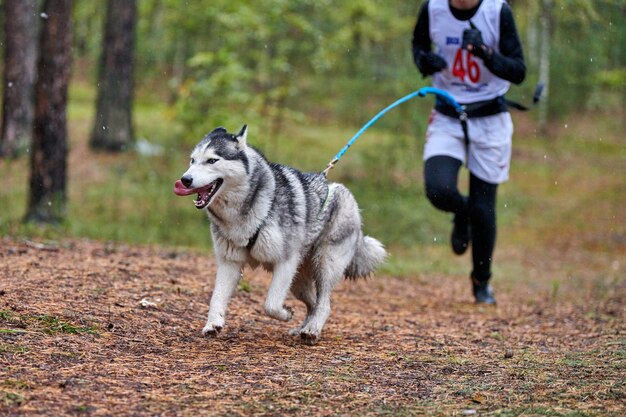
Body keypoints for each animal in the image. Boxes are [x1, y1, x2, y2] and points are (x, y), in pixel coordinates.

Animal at [173, 124, 382, 344]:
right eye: (192, 160)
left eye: (212, 160)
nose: (185, 180)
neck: (249, 209)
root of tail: (349, 197)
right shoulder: (229, 262)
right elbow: (216, 297)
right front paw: (213, 324)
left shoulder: (285, 262)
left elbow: (271, 304)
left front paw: (285, 313)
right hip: (298, 281)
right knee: (313, 303)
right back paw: (302, 328)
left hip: (325, 266)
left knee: (324, 304)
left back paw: (312, 330)